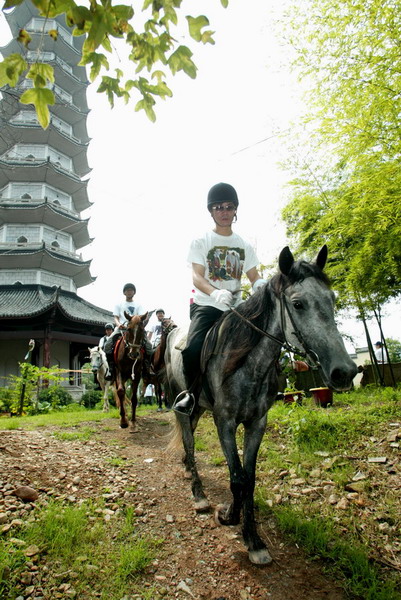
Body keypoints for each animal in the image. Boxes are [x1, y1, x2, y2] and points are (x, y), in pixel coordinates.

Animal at [164, 246, 358, 564]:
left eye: (332, 299)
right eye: (298, 304)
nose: (345, 372)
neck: (247, 363)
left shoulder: (257, 423)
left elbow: (249, 479)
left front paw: (253, 539)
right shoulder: (225, 422)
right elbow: (237, 478)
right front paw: (230, 518)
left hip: (199, 406)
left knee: (189, 432)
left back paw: (188, 470)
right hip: (179, 398)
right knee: (188, 438)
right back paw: (199, 494)